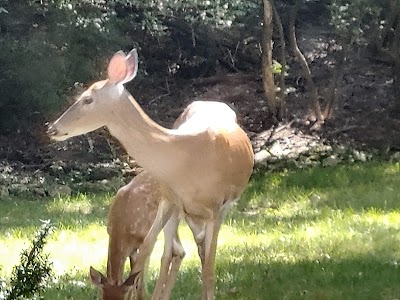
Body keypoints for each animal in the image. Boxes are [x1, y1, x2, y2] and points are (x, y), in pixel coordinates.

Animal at [89, 171, 184, 300]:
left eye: (122, 299)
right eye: (102, 298)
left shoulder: (144, 239)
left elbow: (139, 275)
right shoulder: (131, 249)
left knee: (172, 252)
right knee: (179, 250)